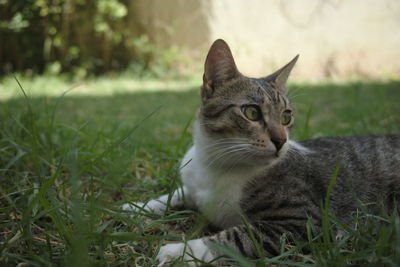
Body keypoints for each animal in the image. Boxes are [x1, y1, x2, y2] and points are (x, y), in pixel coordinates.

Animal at [122, 39, 400, 266]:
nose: (281, 140)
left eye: (286, 116)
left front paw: (179, 251)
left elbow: (237, 237)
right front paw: (138, 206)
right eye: (252, 112)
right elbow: (178, 193)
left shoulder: (302, 220)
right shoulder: (193, 183)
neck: (215, 163)